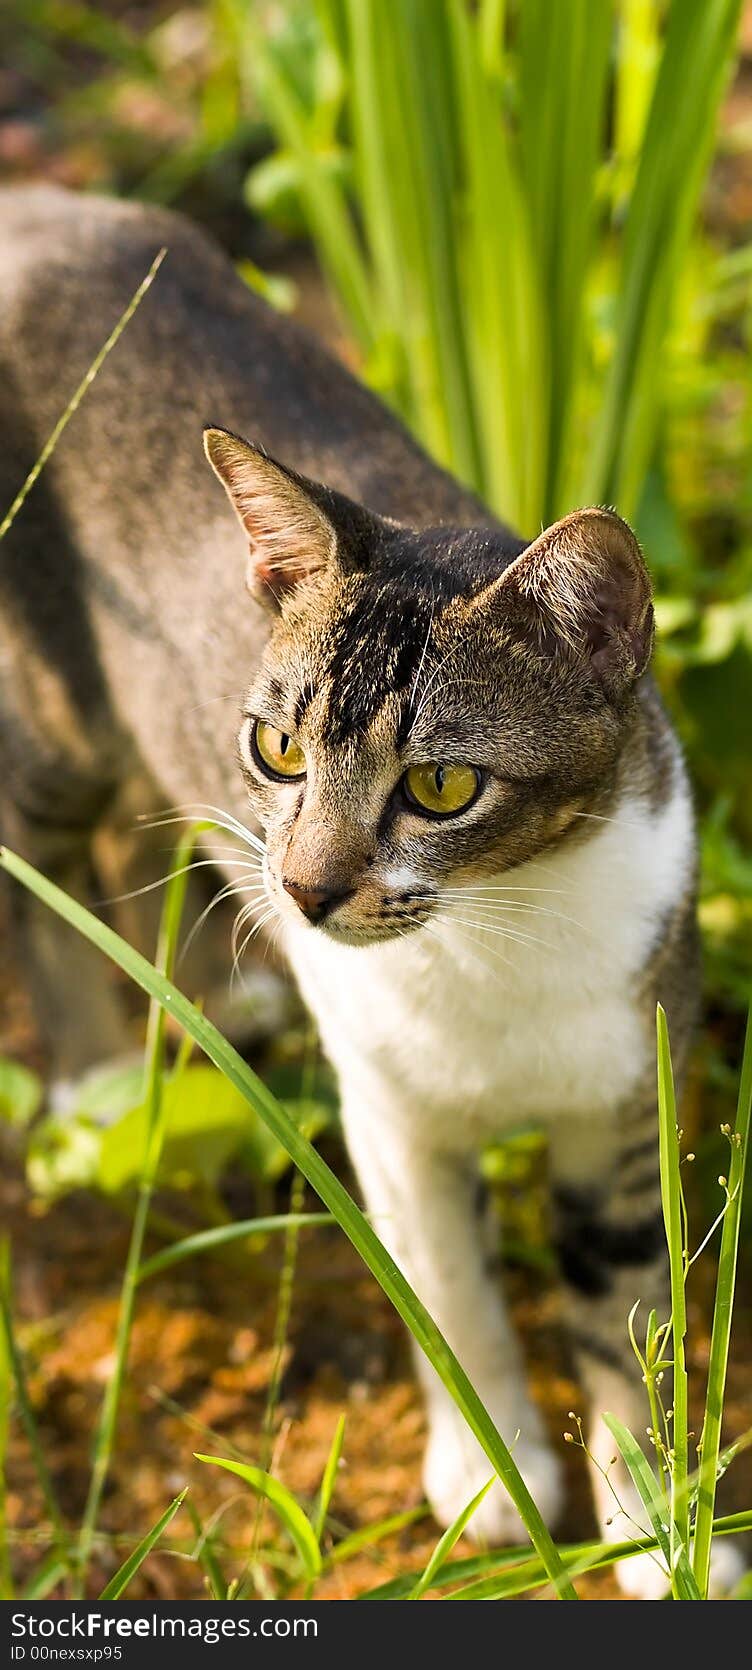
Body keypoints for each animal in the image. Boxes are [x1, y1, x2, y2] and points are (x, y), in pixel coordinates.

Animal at [0, 182, 735, 1589]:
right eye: (277, 749)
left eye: (441, 786)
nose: (302, 890)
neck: (497, 932)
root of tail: (38, 201)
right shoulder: (387, 1108)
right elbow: (445, 1288)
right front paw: (494, 1483)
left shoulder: (628, 1083)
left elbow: (625, 1316)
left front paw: (662, 1530)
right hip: (53, 696)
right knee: (45, 850)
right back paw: (94, 1075)